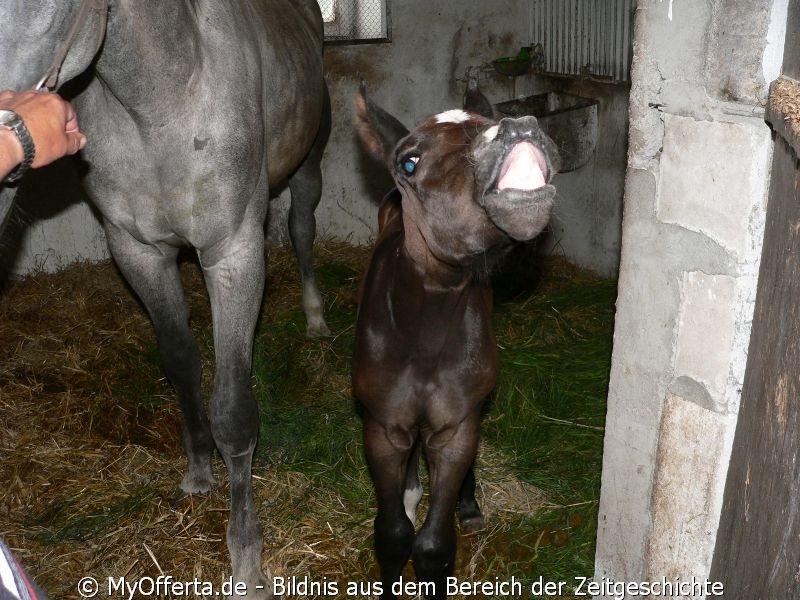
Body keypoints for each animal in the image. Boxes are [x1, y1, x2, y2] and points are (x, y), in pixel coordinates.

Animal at [0, 0, 332, 596]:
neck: (158, 101)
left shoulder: (233, 253)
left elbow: (234, 412)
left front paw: (246, 559)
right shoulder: (137, 251)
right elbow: (180, 362)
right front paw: (199, 471)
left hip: (308, 165)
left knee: (301, 229)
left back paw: (316, 318)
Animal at [354, 84, 560, 600]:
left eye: (487, 121)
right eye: (409, 162)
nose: (518, 127)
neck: (423, 338)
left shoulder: (454, 429)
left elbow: (432, 546)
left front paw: (457, 512)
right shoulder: (382, 427)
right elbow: (392, 535)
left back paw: (468, 507)